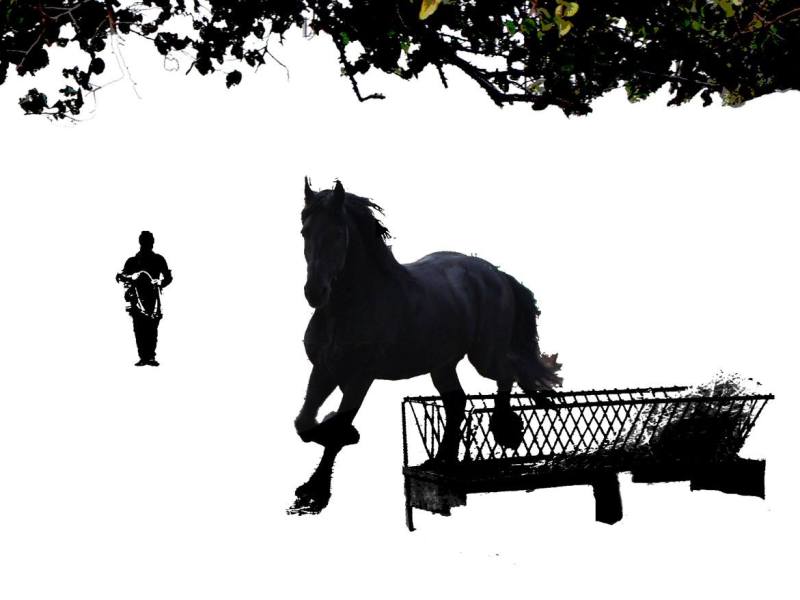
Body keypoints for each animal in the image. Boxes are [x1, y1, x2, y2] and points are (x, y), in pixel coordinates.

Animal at [290, 179, 561, 514]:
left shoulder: (360, 377)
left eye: (339, 234)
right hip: (442, 364)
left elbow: (337, 432)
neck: (352, 306)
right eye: (305, 231)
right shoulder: (324, 369)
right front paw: (328, 442)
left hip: (484, 356)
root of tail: (495, 273)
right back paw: (441, 460)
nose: (315, 292)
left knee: (506, 375)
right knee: (457, 401)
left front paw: (316, 490)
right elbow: (304, 423)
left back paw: (504, 431)